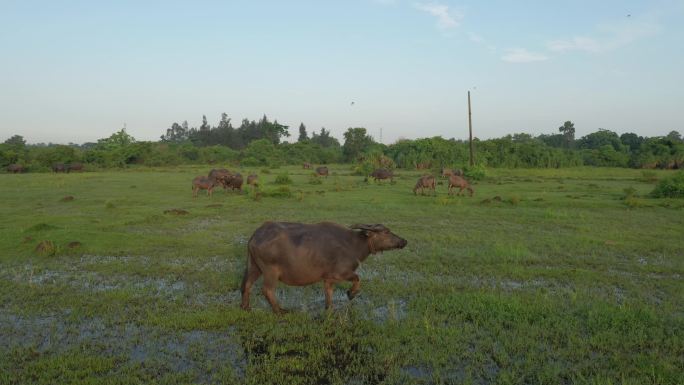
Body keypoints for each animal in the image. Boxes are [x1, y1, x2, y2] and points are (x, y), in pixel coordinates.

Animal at [240, 222, 406, 312]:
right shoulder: (341, 273)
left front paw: (329, 308)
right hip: (270, 272)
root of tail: (255, 236)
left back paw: (246, 307)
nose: (404, 241)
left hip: (254, 267)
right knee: (267, 290)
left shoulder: (328, 278)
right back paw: (280, 311)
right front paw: (351, 294)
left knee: (247, 285)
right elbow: (358, 278)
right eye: (386, 232)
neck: (354, 244)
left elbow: (329, 293)